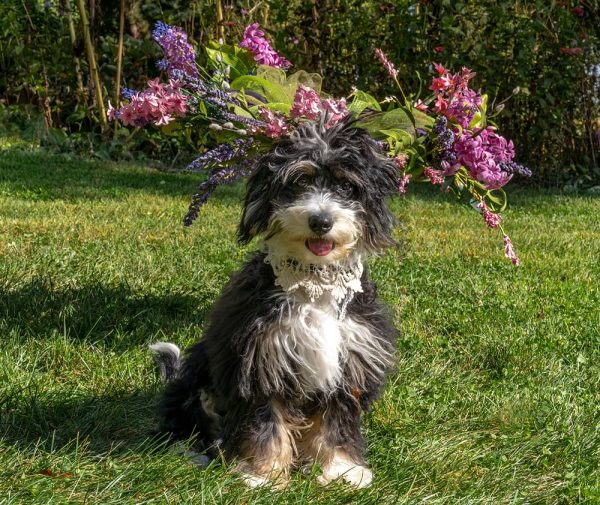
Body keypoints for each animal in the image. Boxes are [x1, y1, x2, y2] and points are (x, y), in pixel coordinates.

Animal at [152, 116, 400, 486]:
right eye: (298, 182)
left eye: (346, 186)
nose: (321, 220)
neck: (314, 284)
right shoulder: (260, 360)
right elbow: (265, 421)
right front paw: (263, 475)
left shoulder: (348, 365)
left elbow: (336, 423)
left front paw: (342, 470)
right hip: (196, 380)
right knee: (188, 420)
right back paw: (193, 452)